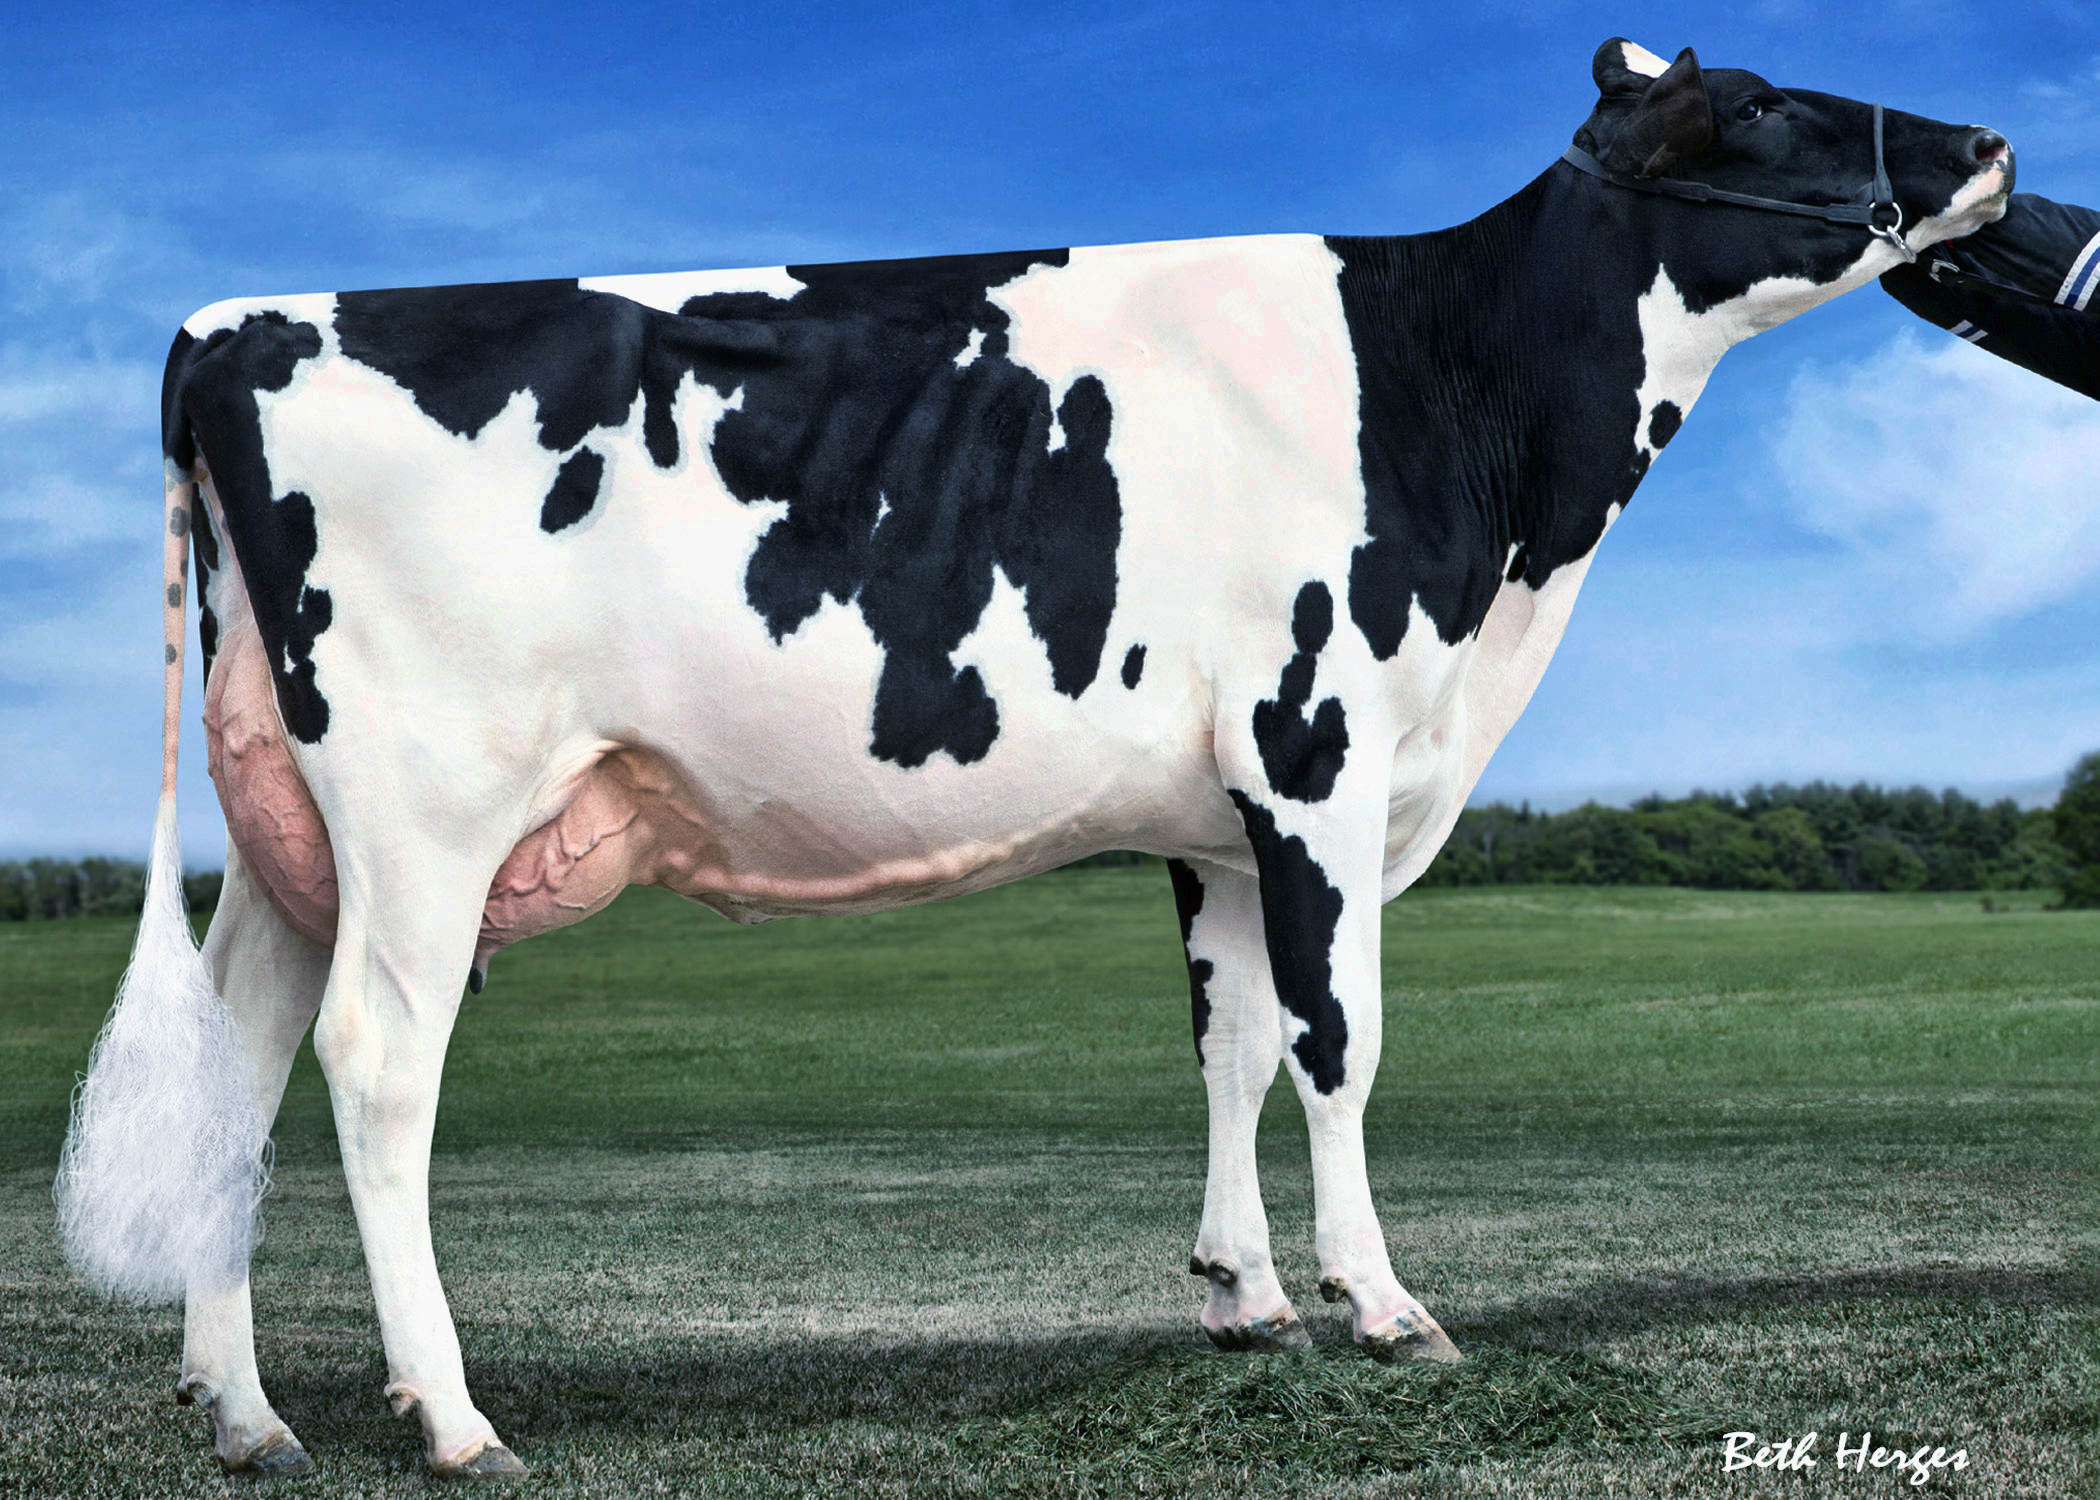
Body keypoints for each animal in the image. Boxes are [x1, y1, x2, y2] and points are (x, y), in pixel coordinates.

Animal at [55, 39, 2012, 1479]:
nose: (1991, 137)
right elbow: (1340, 1047)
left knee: (242, 1053)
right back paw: (452, 1418)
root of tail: (228, 326)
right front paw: (1382, 1308)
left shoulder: (1221, 821)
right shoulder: (1317, 753)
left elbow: (1231, 1043)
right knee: (377, 1065)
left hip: (292, 826)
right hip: (426, 805)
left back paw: (246, 1413)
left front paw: (1244, 1298)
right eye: (1762, 100)